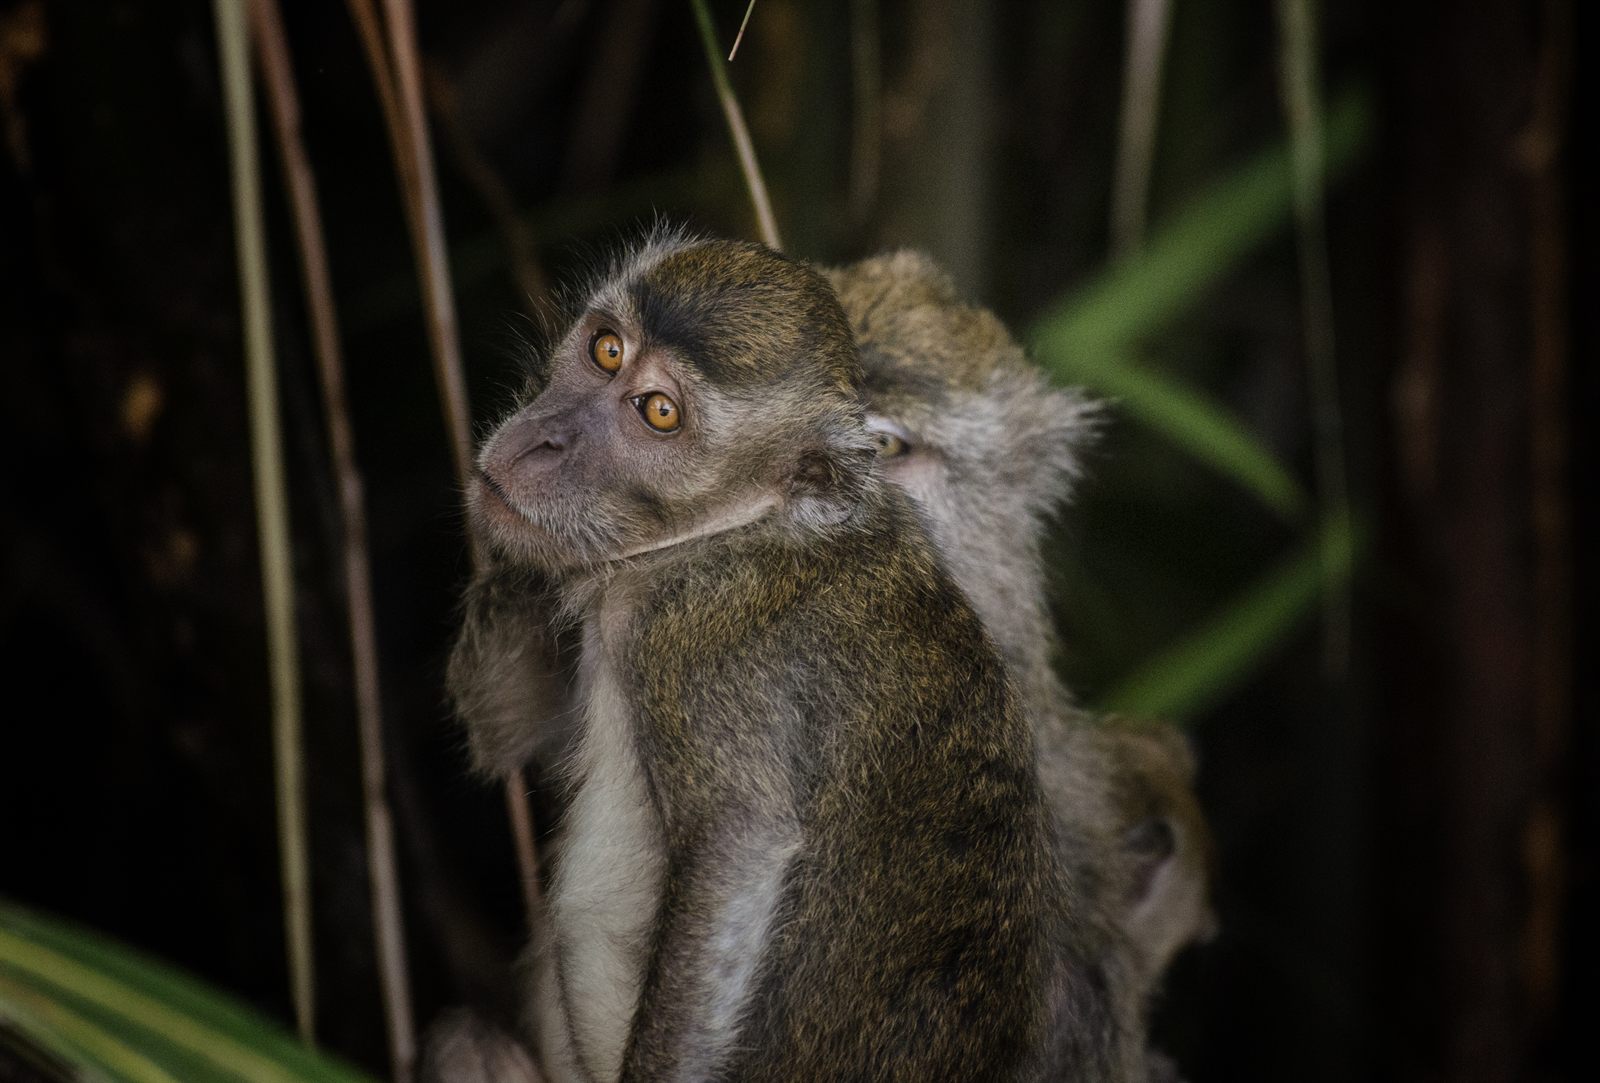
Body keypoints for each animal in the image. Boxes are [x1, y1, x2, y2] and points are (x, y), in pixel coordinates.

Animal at [459, 232, 1119, 1082]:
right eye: (606, 349)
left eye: (658, 412)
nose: (543, 437)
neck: (741, 527)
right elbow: (504, 722)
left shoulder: (700, 645)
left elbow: (737, 844)